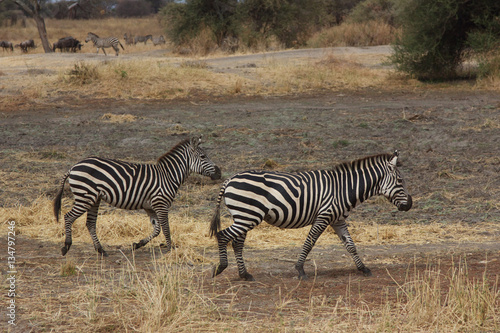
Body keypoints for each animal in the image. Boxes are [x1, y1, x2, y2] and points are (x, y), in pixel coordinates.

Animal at [53, 136, 223, 255]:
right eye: (203, 157)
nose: (220, 173)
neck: (168, 176)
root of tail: (74, 166)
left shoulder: (150, 207)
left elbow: (157, 229)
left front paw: (138, 244)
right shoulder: (161, 204)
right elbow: (166, 228)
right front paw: (170, 250)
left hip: (94, 199)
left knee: (90, 223)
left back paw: (100, 250)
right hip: (85, 197)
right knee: (68, 217)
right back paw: (66, 246)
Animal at [209, 150, 412, 280]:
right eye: (400, 180)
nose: (409, 204)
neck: (343, 189)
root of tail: (230, 179)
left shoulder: (338, 220)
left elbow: (351, 246)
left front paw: (363, 269)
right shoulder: (324, 216)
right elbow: (309, 243)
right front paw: (300, 270)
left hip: (244, 216)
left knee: (237, 243)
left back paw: (244, 274)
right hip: (248, 216)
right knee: (223, 236)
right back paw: (221, 268)